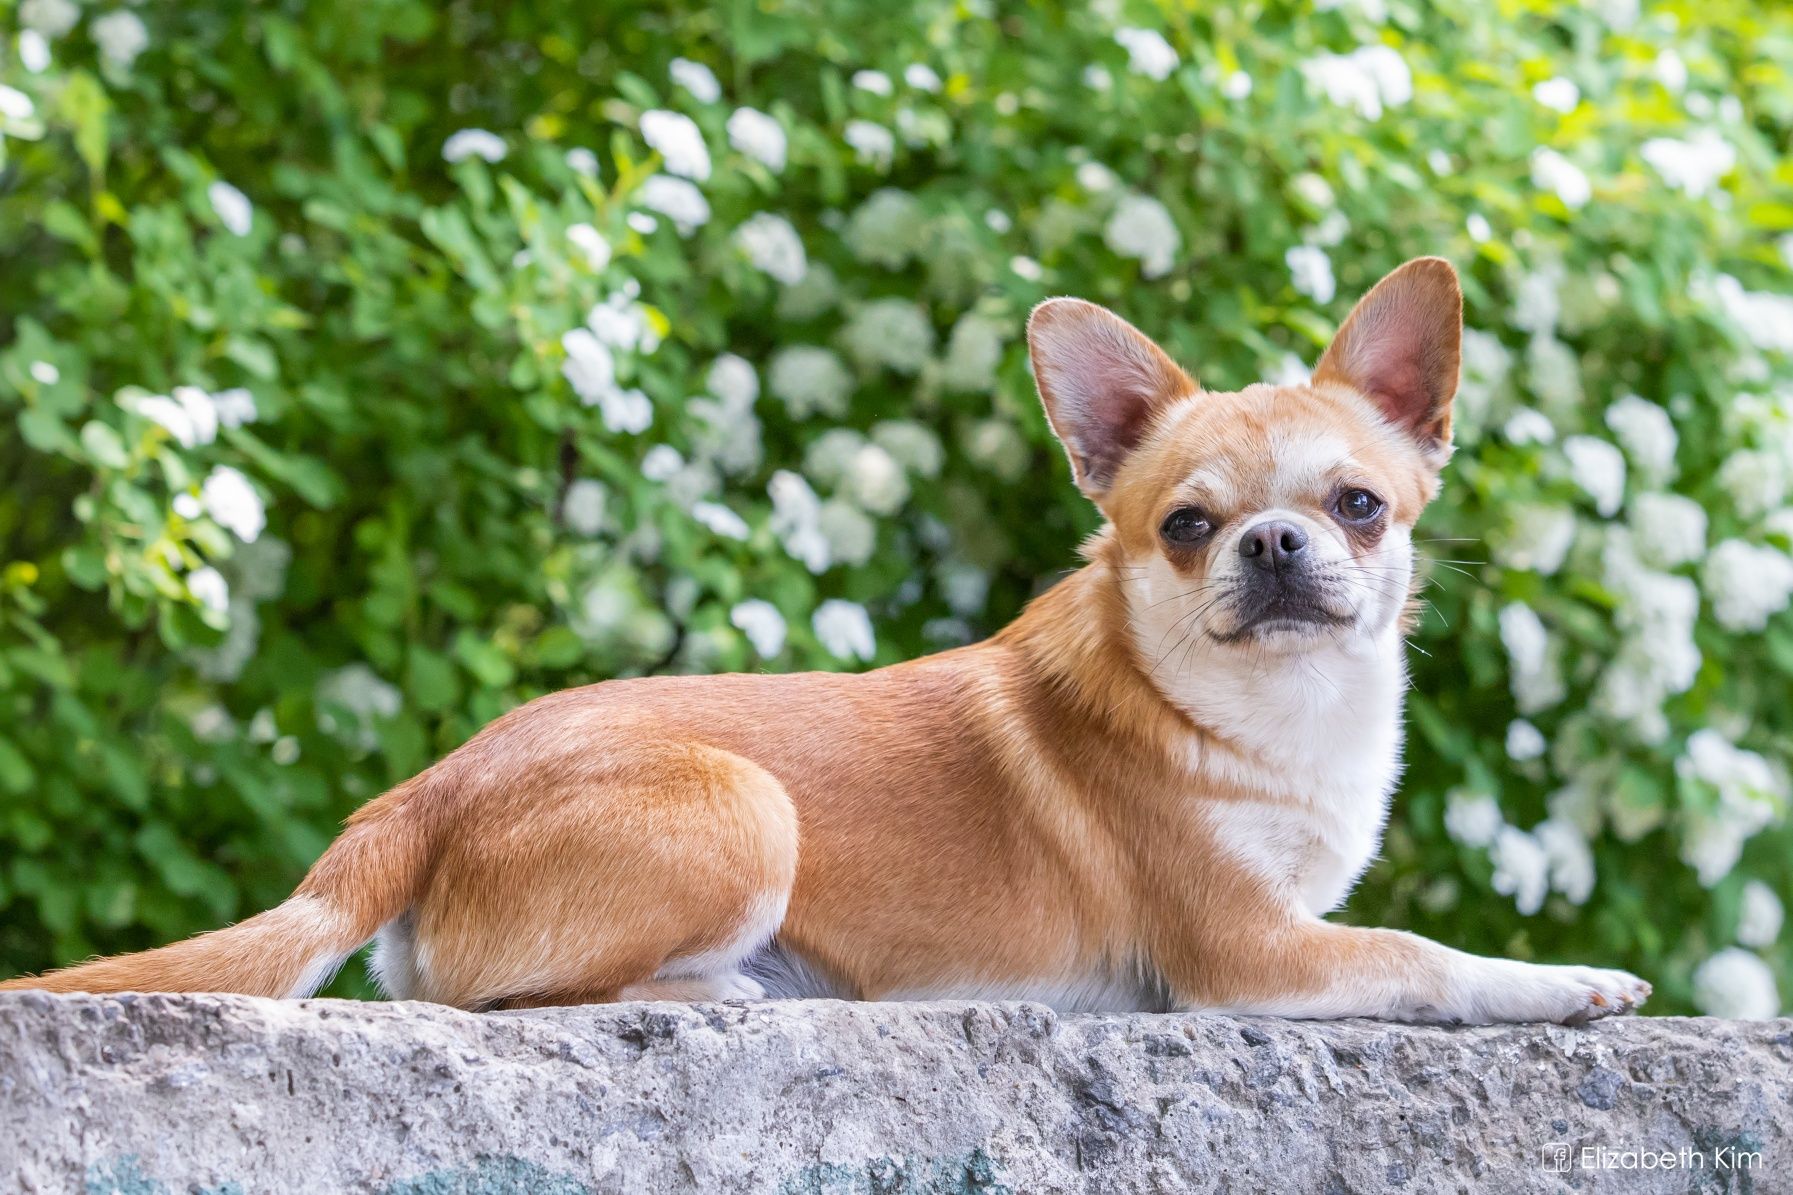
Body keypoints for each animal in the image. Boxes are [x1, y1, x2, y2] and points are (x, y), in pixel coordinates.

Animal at [0, 256, 1649, 1019]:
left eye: (1359, 504)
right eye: (1186, 525)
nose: (1275, 543)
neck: (1263, 715)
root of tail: (419, 790)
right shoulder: (1252, 955)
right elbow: (1423, 953)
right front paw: (1562, 979)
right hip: (747, 806)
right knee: (496, 998)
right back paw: (727, 991)